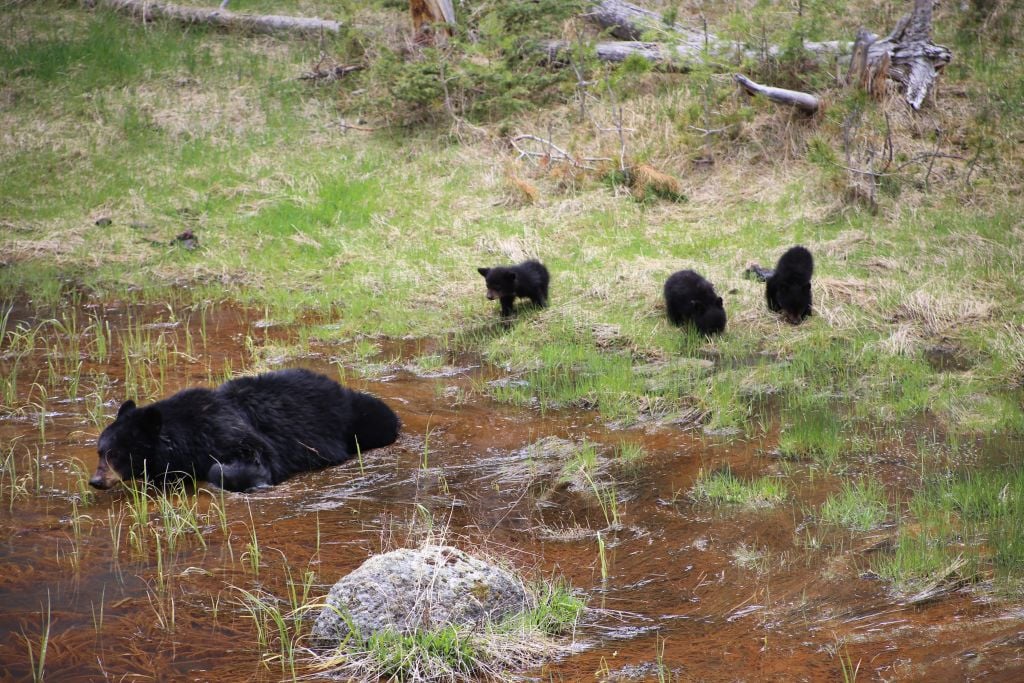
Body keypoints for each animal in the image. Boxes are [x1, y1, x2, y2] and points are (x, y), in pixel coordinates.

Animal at [90, 368, 399, 491]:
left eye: (115, 453)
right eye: (100, 452)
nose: (96, 480)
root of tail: (333, 383)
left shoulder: (225, 429)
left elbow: (259, 456)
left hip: (354, 418)